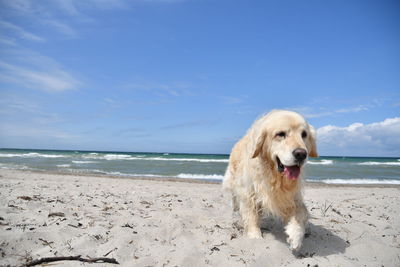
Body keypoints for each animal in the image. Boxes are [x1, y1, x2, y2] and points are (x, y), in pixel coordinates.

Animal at [222, 109, 318, 251]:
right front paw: (254, 236)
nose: (301, 154)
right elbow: (251, 215)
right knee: (235, 198)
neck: (275, 176)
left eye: (304, 134)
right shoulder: (248, 192)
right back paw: (235, 209)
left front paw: (295, 236)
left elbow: (302, 214)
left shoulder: (292, 197)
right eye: (281, 134)